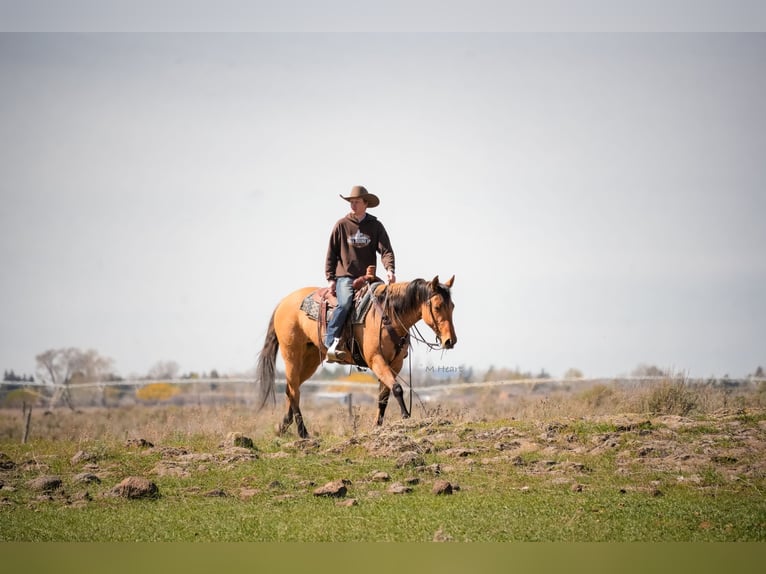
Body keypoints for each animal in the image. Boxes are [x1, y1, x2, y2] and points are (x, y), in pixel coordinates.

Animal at [254, 275, 457, 438]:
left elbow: (383, 396)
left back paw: (282, 427)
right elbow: (397, 389)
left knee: (291, 389)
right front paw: (406, 418)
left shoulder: (395, 364)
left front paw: (377, 427)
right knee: (294, 391)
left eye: (452, 306)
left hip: (310, 359)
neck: (387, 315)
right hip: (292, 355)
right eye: (437, 306)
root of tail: (283, 303)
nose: (450, 341)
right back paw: (303, 433)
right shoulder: (376, 360)